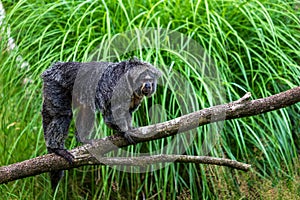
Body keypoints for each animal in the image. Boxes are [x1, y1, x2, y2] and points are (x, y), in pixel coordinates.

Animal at [41, 57, 162, 189]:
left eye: (150, 80)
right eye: (144, 79)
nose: (148, 85)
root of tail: (53, 69)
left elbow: (127, 112)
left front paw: (130, 127)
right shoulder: (120, 88)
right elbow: (112, 112)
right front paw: (125, 131)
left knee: (87, 108)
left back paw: (81, 139)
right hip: (55, 84)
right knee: (62, 114)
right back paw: (57, 149)